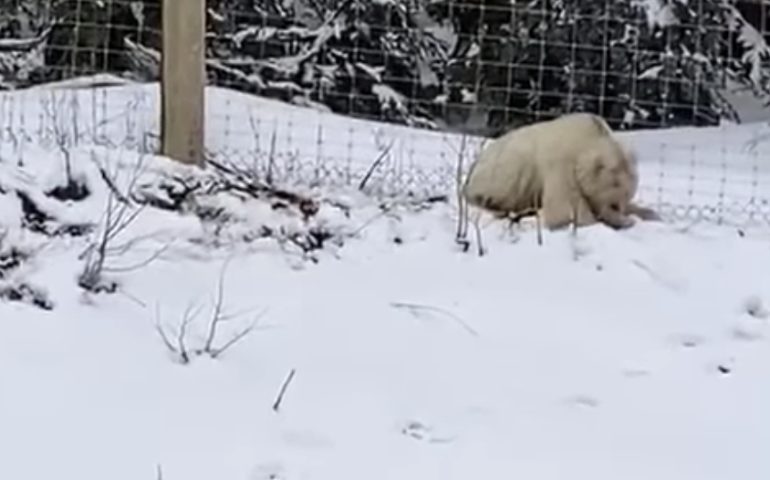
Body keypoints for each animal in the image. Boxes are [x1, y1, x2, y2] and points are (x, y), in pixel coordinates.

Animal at [462, 112, 659, 231]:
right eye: (614, 184)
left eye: (626, 194)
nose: (618, 210)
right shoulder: (562, 166)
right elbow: (566, 209)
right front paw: (623, 221)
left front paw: (648, 214)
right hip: (496, 178)